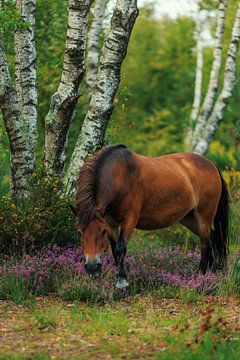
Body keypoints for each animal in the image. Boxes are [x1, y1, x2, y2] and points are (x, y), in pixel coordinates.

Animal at [73, 145, 229, 288]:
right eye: (79, 232)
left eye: (102, 232)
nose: (92, 267)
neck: (121, 176)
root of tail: (210, 164)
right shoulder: (111, 223)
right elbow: (114, 249)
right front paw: (118, 278)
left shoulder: (129, 220)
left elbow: (120, 248)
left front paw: (122, 281)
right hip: (189, 219)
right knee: (211, 238)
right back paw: (210, 271)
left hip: (204, 216)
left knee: (205, 242)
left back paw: (201, 274)